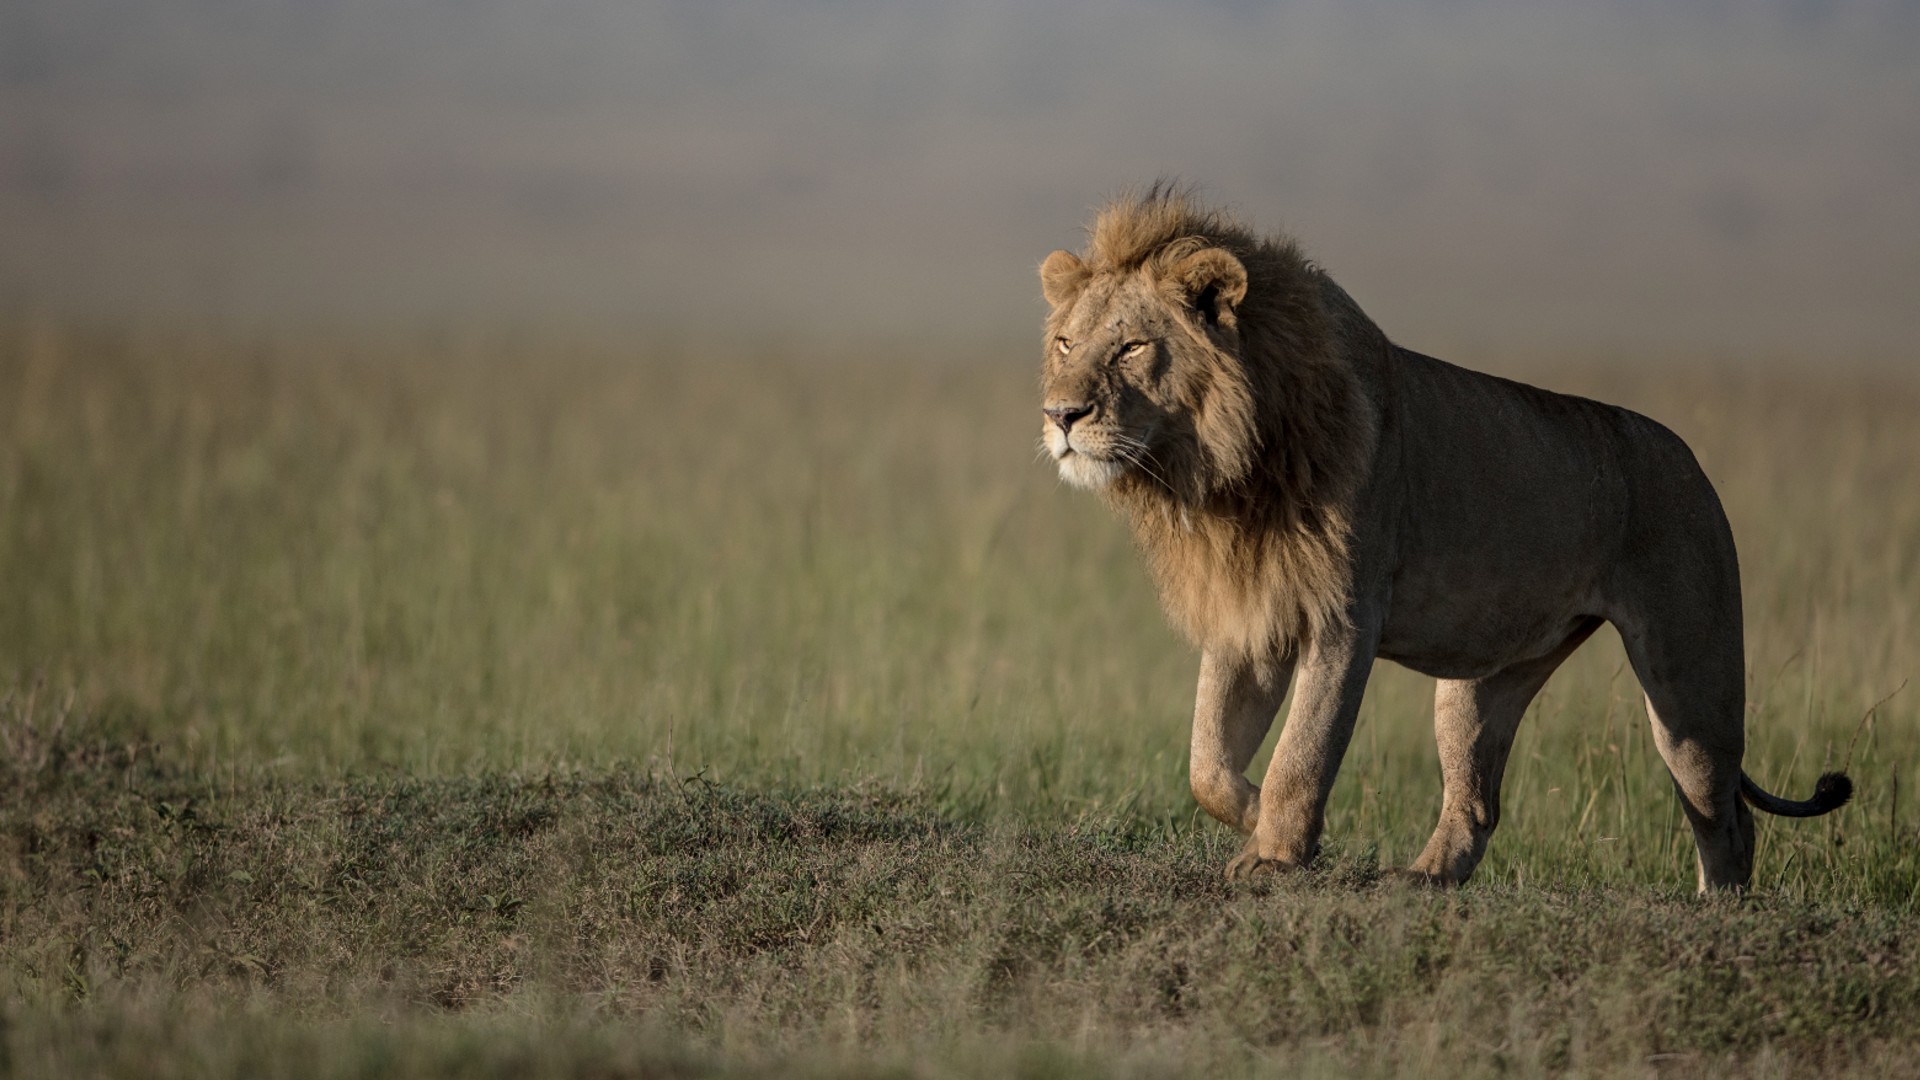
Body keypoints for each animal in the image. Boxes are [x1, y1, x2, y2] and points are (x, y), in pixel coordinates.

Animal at [1044, 187, 1850, 891]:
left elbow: (1303, 752)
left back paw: (1720, 909)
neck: (1222, 471)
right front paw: (1260, 821)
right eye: (1064, 343)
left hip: (1690, 683)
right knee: (1479, 802)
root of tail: (1691, 463)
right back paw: (1423, 879)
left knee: (1724, 814)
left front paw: (1276, 852)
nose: (1060, 415)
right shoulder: (1250, 615)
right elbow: (1206, 763)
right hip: (1483, 683)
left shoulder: (1346, 617)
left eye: (1130, 349)